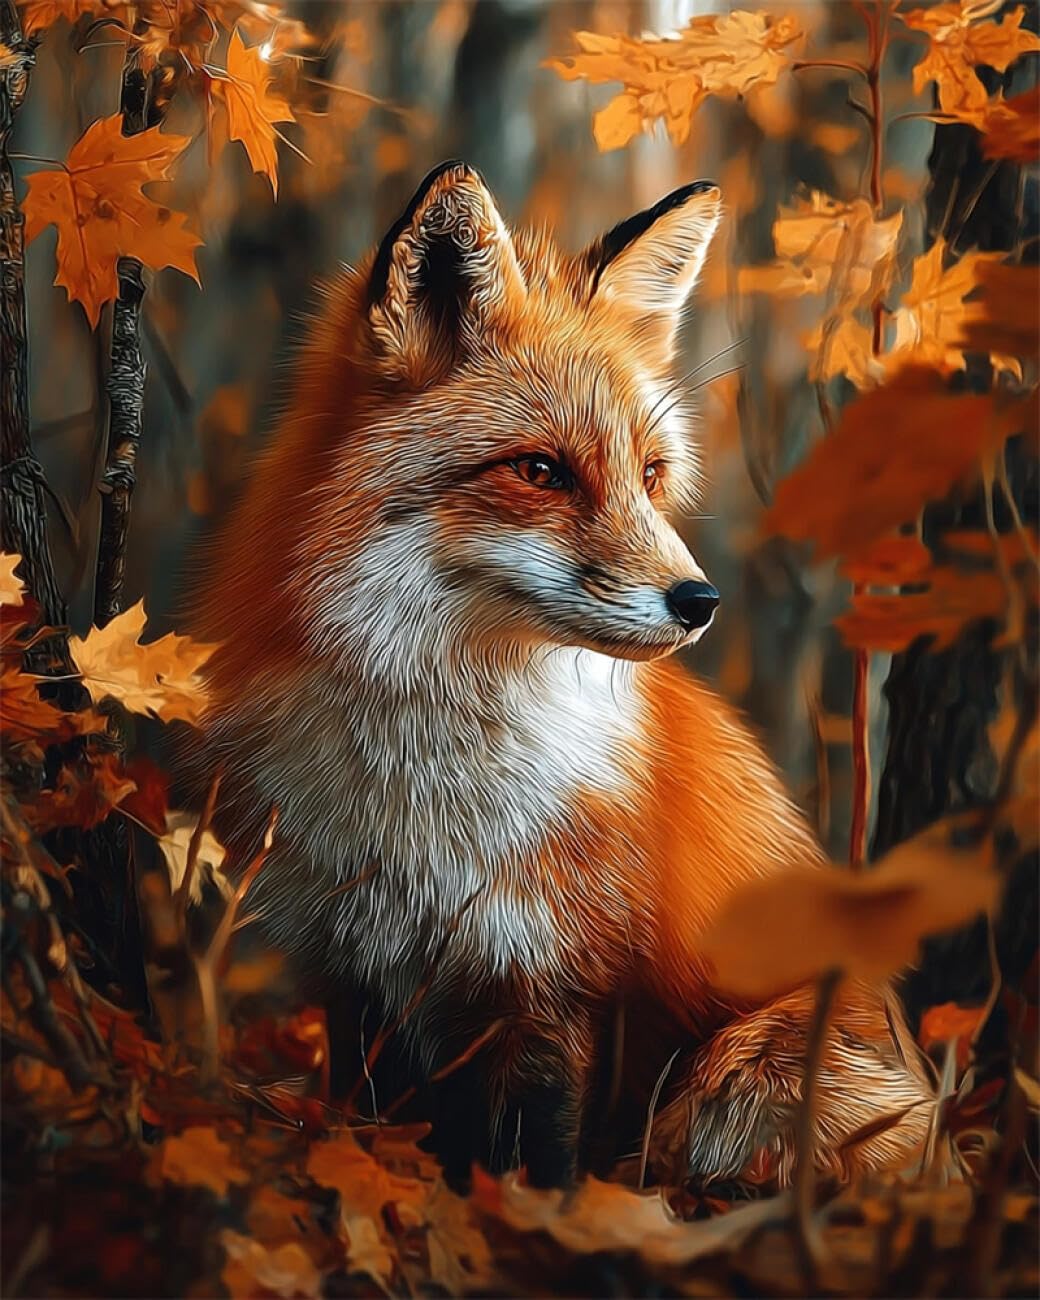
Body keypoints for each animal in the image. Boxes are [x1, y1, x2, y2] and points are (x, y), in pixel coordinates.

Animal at [190, 161, 932, 1190]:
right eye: (540, 471)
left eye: (651, 476)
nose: (699, 601)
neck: (427, 778)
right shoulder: (350, 962)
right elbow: (366, 1115)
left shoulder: (554, 978)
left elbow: (537, 1157)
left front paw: (533, 1213)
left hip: (744, 1073)